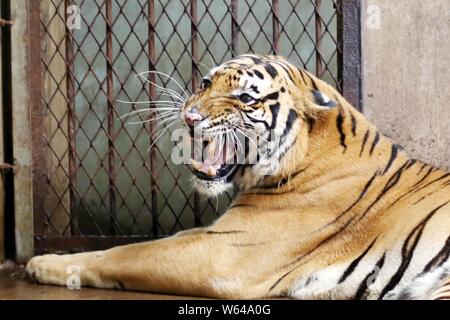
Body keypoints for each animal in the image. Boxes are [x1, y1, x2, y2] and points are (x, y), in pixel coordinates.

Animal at [25, 53, 450, 300]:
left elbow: (123, 254)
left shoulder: (224, 254)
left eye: (245, 98)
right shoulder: (214, 234)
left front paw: (41, 264)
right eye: (205, 83)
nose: (190, 116)